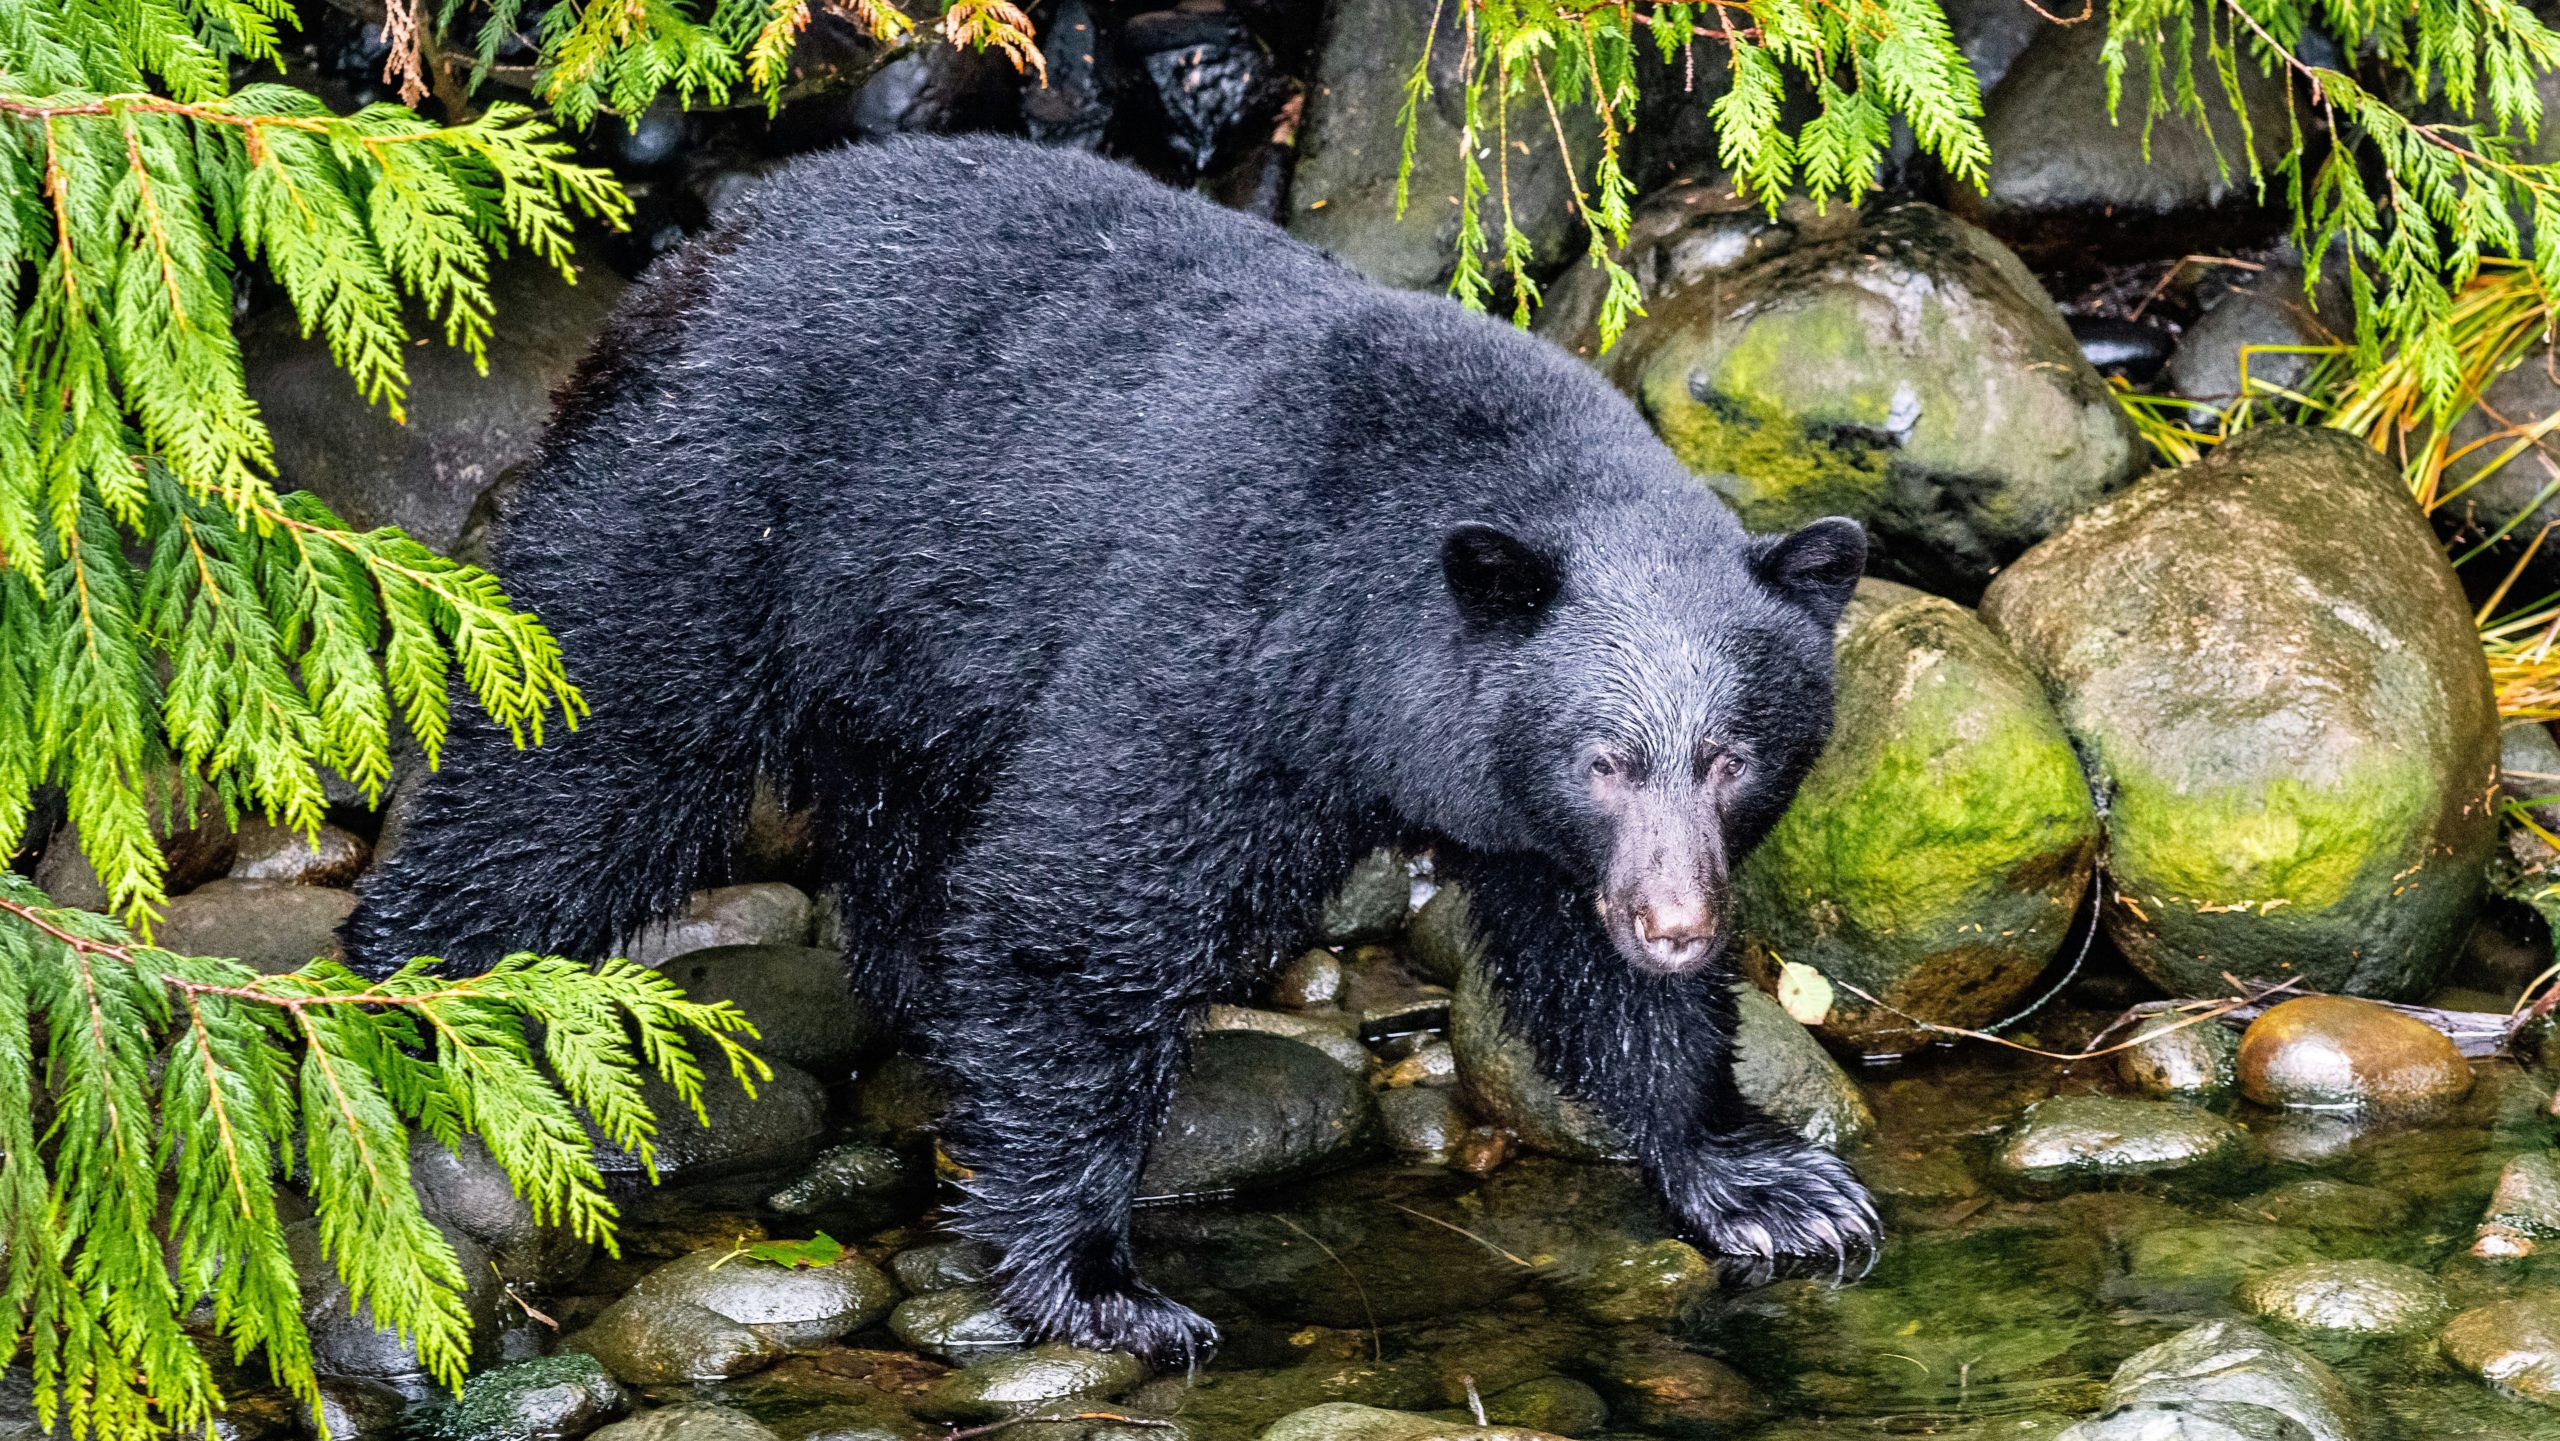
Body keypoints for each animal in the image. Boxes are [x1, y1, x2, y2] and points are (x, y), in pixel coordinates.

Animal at [342, 134, 1879, 1365]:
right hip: (705, 518)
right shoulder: (1224, 644)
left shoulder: (1530, 825)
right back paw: (410, 997)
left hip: (904, 649)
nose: (1680, 924)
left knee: (900, 830)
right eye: (1605, 756)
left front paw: (1763, 1180)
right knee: (583, 771)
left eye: (1732, 755)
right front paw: (1099, 1281)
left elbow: (1585, 969)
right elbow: (1078, 907)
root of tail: (687, 261)